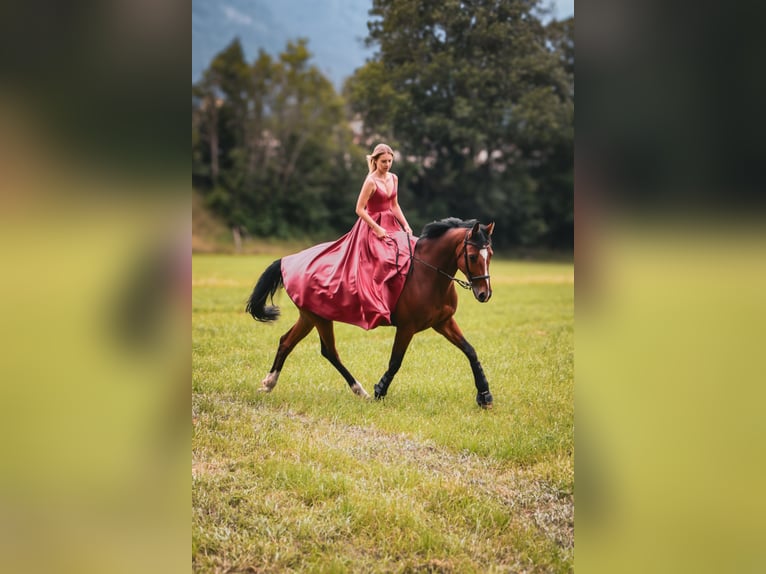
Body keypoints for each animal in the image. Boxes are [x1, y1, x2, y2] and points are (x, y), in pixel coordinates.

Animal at [246, 218, 495, 408]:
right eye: (472, 256)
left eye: (490, 254)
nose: (485, 294)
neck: (429, 274)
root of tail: (290, 259)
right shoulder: (407, 328)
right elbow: (395, 362)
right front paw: (379, 391)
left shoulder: (443, 322)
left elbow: (470, 351)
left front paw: (484, 395)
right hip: (320, 317)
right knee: (330, 352)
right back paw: (361, 391)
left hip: (310, 316)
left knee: (287, 342)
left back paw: (269, 383)